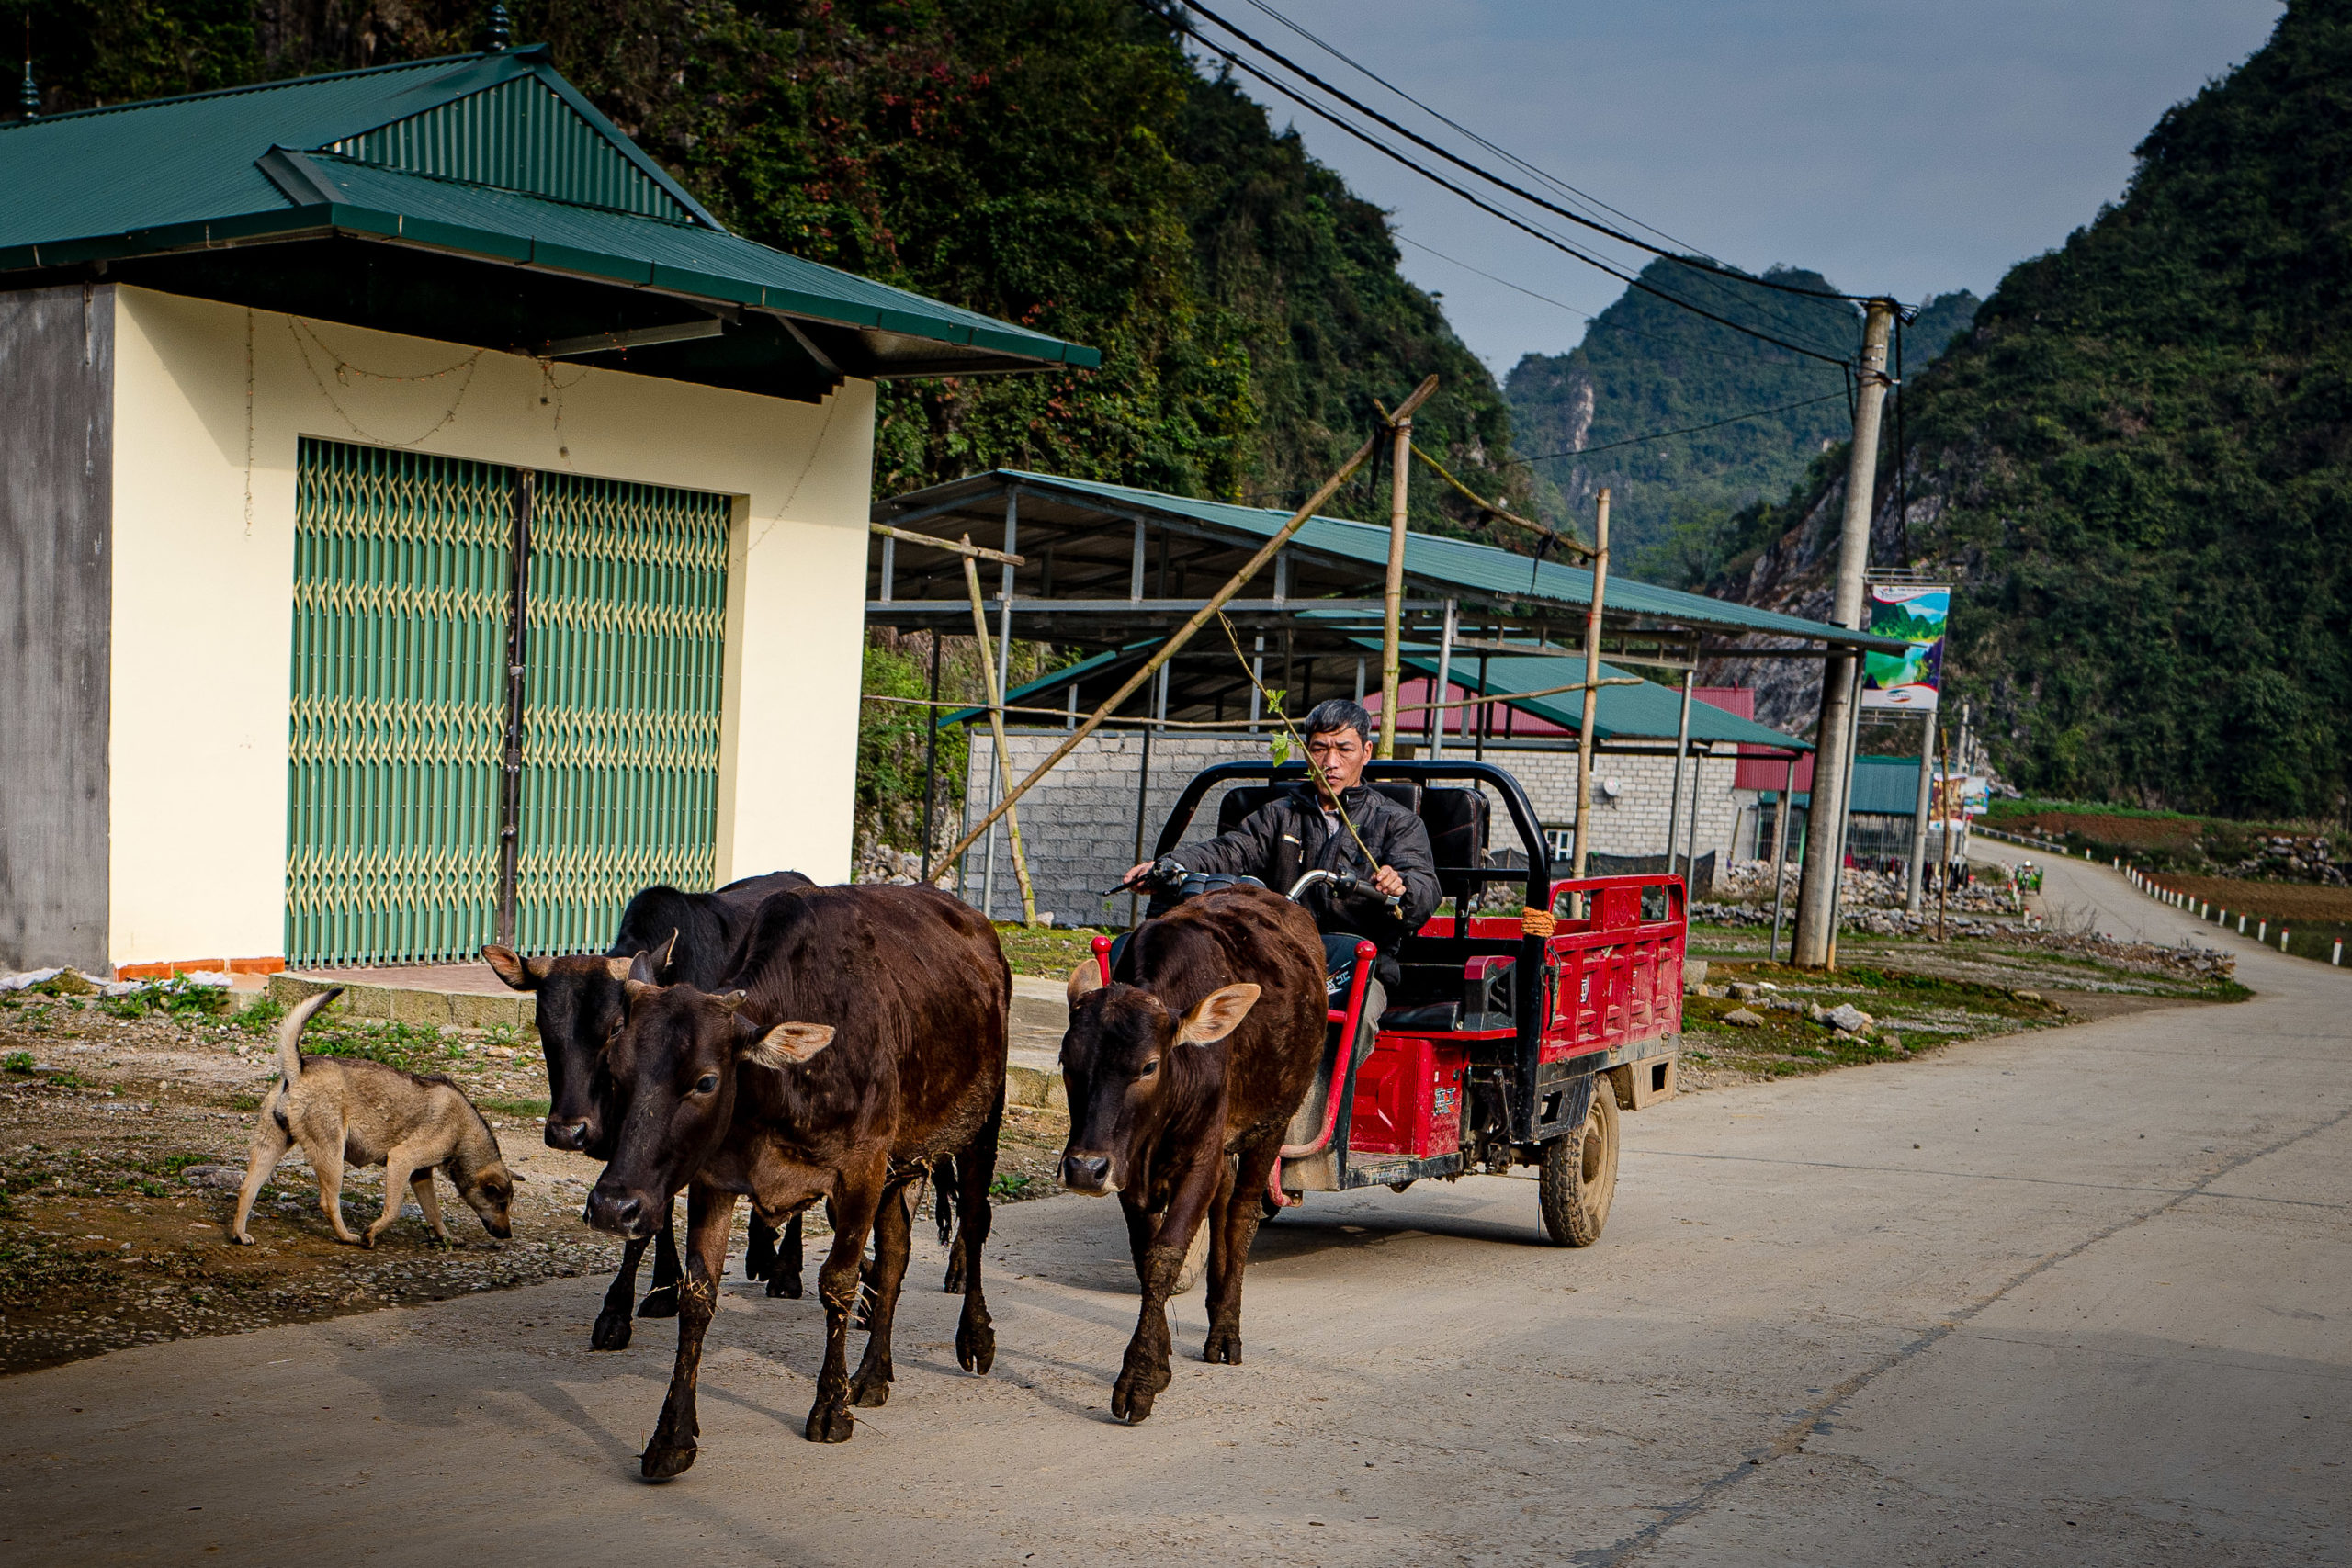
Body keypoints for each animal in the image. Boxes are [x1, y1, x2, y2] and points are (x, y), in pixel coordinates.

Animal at [228, 991, 519, 1250]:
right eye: (501, 1204)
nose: (508, 1235)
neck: (464, 1133)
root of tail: (298, 1069)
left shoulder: (421, 1176)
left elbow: (434, 1212)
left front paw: (445, 1237)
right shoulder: (400, 1161)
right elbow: (393, 1210)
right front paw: (372, 1233)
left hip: (270, 1147)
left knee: (247, 1189)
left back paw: (239, 1234)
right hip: (332, 1156)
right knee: (328, 1202)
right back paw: (347, 1236)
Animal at [582, 888, 1006, 1476]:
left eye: (706, 1081)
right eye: (615, 1070)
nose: (611, 1205)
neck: (782, 1087)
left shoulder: (861, 1171)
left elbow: (838, 1283)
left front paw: (830, 1408)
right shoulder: (715, 1181)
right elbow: (697, 1297)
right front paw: (671, 1437)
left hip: (980, 1128)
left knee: (974, 1223)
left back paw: (973, 1338)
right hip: (904, 1168)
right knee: (895, 1256)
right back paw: (873, 1375)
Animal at [1063, 888, 1336, 1429]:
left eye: (1149, 1065)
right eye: (1066, 1062)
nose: (1084, 1168)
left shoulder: (1200, 1160)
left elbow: (1167, 1253)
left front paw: (1139, 1378)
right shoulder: (1129, 1173)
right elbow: (1147, 1257)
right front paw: (1161, 1358)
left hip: (1272, 1125)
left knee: (1242, 1214)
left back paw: (1226, 1331)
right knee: (1225, 1206)